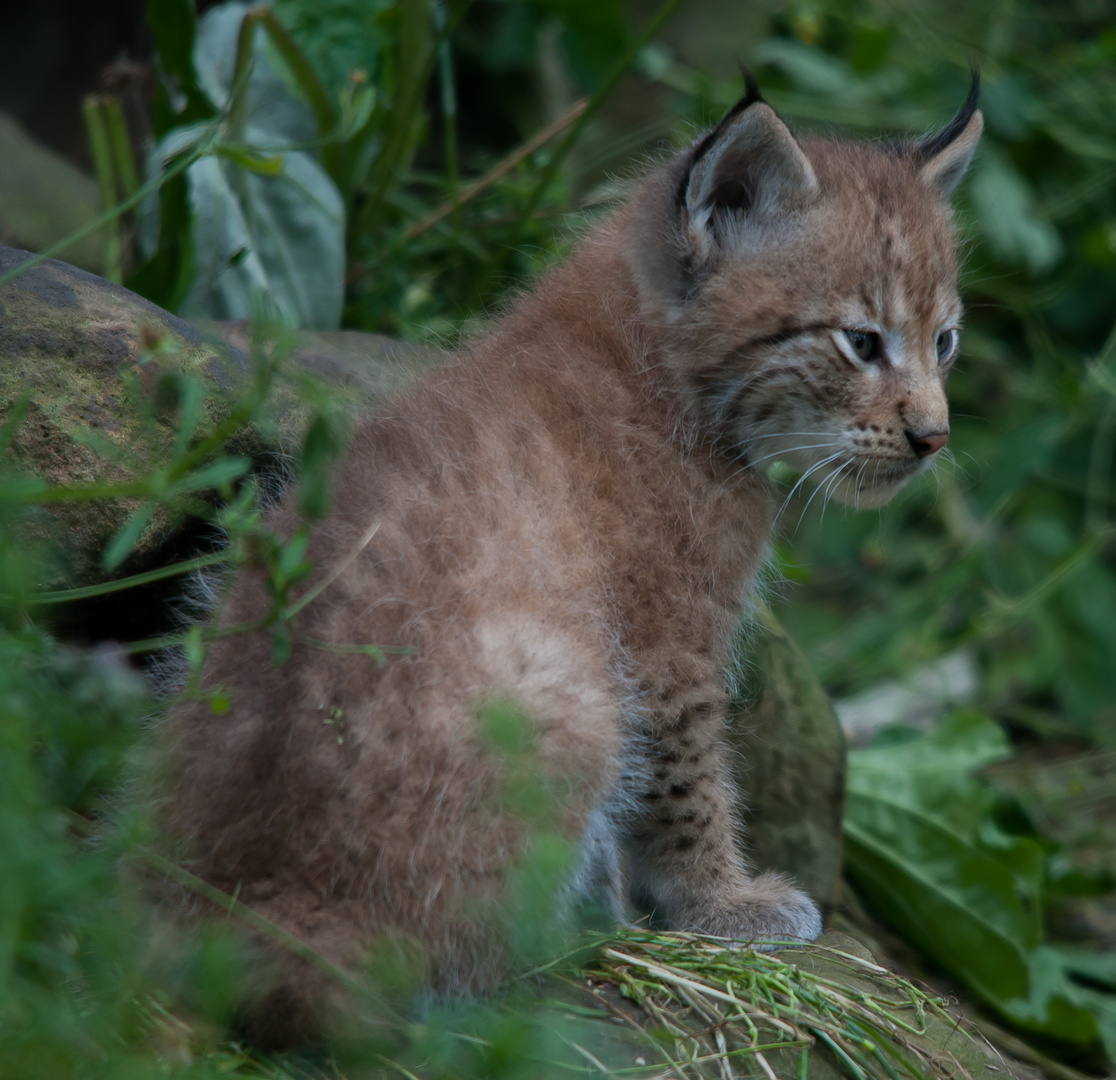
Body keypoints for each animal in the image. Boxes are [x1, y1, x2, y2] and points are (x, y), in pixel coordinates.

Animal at [161, 73, 982, 1030]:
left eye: (944, 342)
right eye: (861, 342)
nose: (934, 439)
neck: (654, 359)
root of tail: (260, 903)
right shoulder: (664, 645)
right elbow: (689, 782)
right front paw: (722, 904)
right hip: (569, 688)